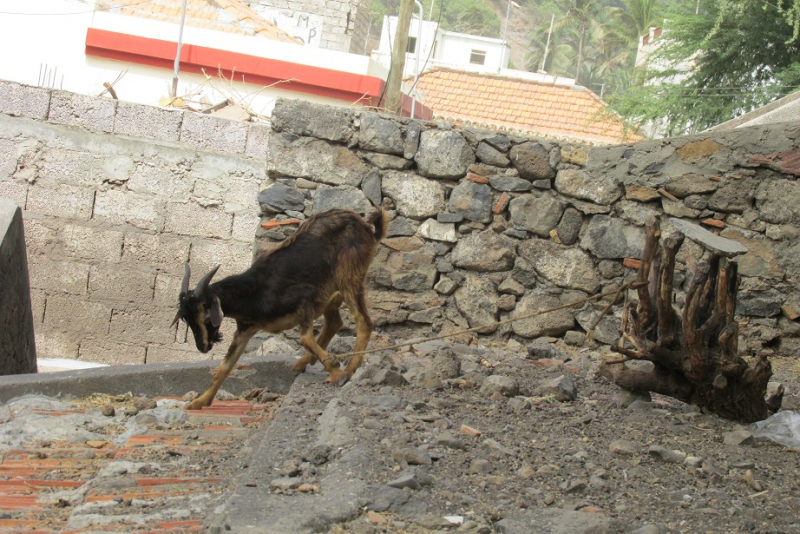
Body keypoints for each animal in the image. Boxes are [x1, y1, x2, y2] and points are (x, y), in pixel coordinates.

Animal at [173, 209, 390, 410]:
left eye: (205, 315)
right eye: (186, 319)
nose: (203, 347)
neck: (256, 291)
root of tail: (366, 227)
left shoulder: (304, 303)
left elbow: (305, 338)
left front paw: (337, 372)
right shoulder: (245, 330)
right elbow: (224, 367)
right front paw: (200, 401)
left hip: (349, 277)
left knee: (363, 322)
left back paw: (350, 369)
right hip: (331, 287)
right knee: (334, 323)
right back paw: (304, 363)